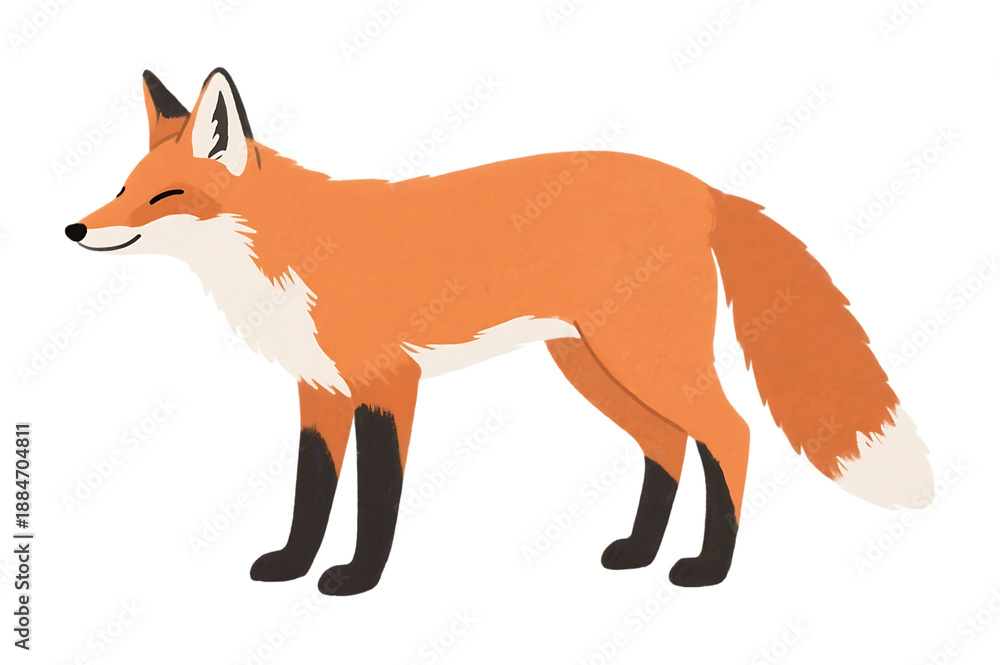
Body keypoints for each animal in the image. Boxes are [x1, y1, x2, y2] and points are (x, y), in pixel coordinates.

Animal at [67, 68, 934, 596]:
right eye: (124, 187)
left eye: (166, 196)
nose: (75, 228)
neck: (290, 252)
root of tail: (704, 187)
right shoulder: (319, 389)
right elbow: (311, 491)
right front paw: (290, 565)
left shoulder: (388, 382)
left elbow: (376, 496)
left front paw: (357, 578)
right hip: (593, 365)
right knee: (668, 443)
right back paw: (638, 552)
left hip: (641, 358)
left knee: (729, 432)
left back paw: (707, 569)